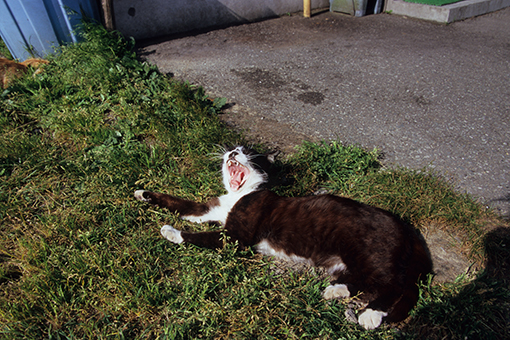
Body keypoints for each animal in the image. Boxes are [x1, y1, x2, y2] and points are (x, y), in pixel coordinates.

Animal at [133, 146, 432, 330]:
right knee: (368, 280)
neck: (240, 194)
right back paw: (336, 290)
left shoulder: (237, 237)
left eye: (247, 153)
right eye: (235, 149)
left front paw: (171, 232)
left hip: (366, 249)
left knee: (394, 285)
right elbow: (181, 204)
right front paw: (143, 193)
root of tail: (406, 229)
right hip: (353, 259)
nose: (232, 152)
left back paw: (370, 314)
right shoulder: (209, 209)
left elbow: (202, 236)